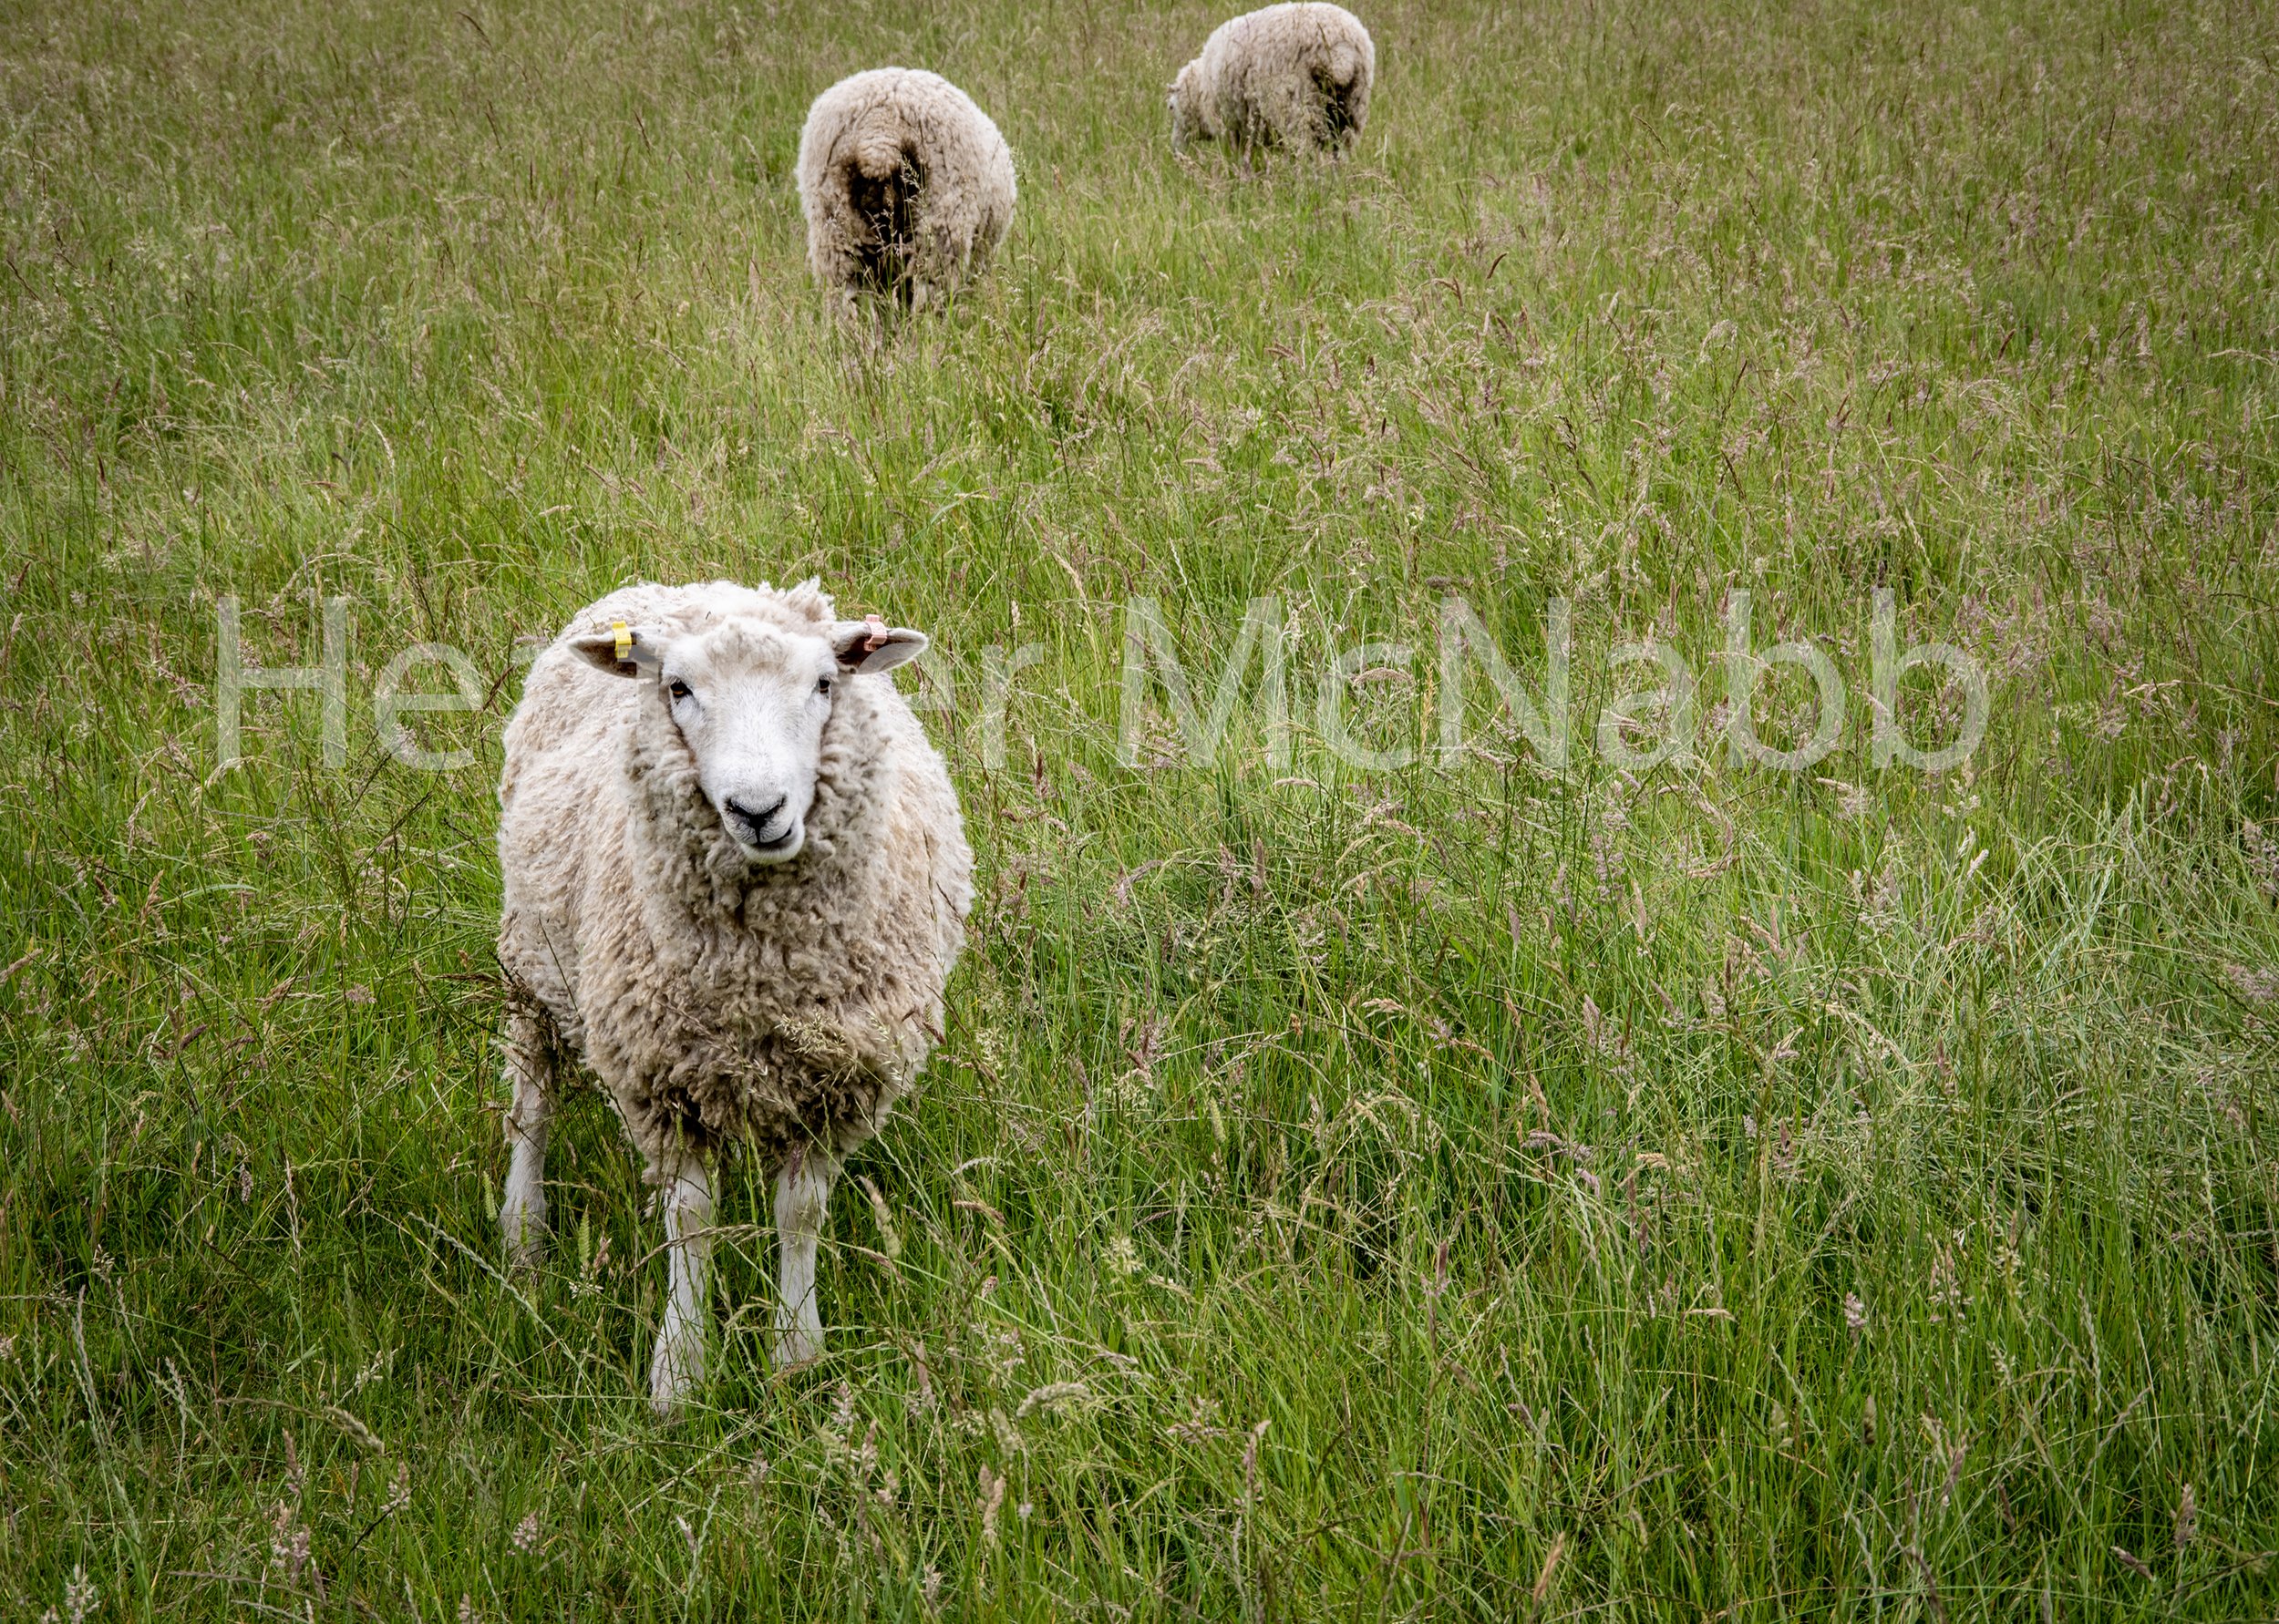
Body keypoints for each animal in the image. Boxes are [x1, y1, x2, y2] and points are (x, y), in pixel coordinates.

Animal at [494, 578, 973, 1416]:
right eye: (679, 688)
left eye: (825, 684)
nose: (758, 809)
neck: (759, 975)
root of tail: (681, 584)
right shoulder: (662, 1078)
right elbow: (691, 1220)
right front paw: (680, 1375)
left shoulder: (837, 1080)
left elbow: (801, 1213)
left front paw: (795, 1357)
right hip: (530, 955)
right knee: (532, 1100)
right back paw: (525, 1233)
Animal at [1169, 4, 1375, 157]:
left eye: (1171, 108)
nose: (1175, 150)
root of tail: (1340, 53)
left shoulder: (1233, 127)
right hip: (1351, 109)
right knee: (1340, 151)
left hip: (1297, 107)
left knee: (1307, 154)